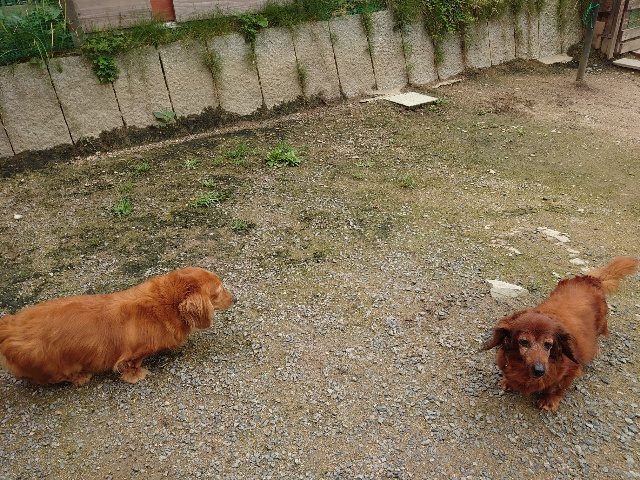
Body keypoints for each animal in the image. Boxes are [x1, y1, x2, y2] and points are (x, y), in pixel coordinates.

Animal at [0, 267, 235, 386]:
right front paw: (137, 375)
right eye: (219, 291)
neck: (164, 304)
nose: (235, 298)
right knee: (57, 377)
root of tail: (11, 327)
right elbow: (131, 366)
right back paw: (80, 377)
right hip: (56, 365)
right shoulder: (134, 354)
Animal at [482, 256, 638, 410]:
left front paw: (548, 400)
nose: (539, 371)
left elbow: (555, 388)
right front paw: (508, 382)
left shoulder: (570, 371)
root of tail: (590, 279)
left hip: (599, 324)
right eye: (524, 342)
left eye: (548, 344)